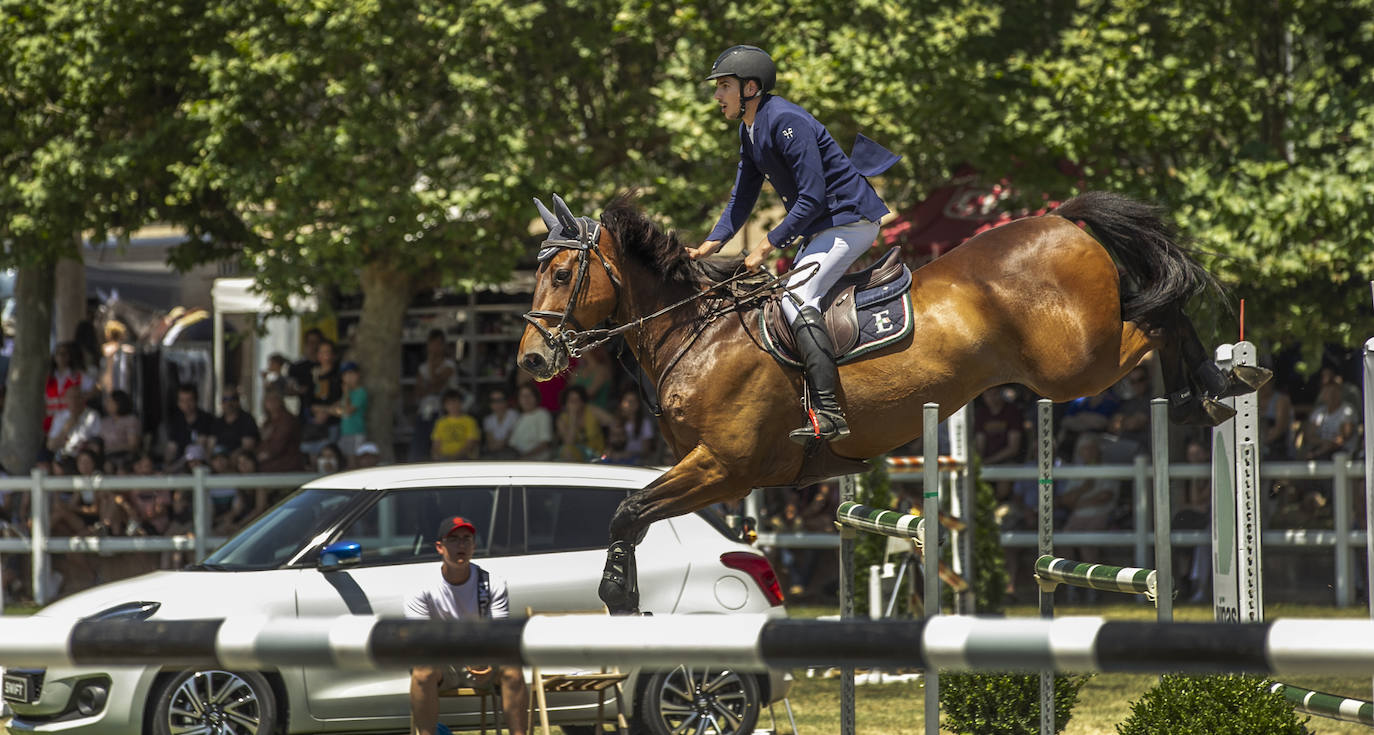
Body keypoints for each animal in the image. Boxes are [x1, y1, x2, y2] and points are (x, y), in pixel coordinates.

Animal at [516, 190, 1264, 615]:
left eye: (563, 272)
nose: (531, 359)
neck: (697, 330)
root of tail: (1062, 221)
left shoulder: (726, 466)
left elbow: (627, 509)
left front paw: (617, 594)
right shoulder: (714, 472)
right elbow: (635, 512)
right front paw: (621, 587)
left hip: (1076, 363)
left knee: (1160, 314)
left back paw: (1215, 387)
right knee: (1158, 312)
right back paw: (1213, 391)